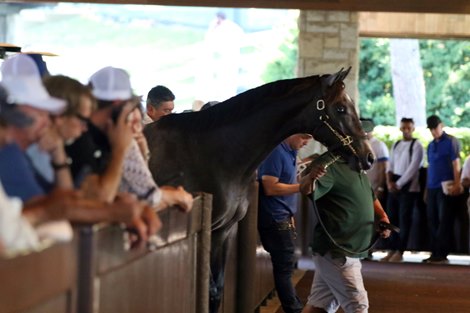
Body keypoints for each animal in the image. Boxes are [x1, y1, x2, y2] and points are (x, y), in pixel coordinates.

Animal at [143, 67, 374, 310]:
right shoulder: (206, 230)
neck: (209, 152)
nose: (367, 157)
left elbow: (216, 291)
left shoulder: (223, 231)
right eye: (340, 108)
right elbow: (209, 290)